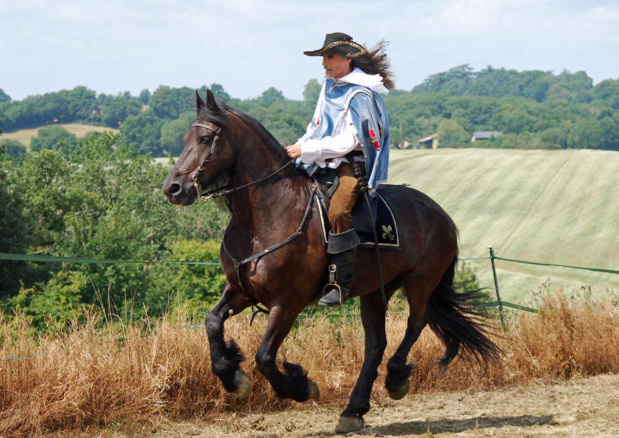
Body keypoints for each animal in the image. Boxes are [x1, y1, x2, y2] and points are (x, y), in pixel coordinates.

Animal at [163, 90, 498, 432]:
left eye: (205, 138)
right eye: (186, 138)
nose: (172, 188)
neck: (267, 215)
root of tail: (439, 213)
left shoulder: (288, 303)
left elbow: (265, 357)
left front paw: (301, 387)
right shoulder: (241, 291)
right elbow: (212, 322)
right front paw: (233, 377)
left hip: (421, 281)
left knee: (416, 324)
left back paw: (395, 379)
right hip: (376, 291)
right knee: (375, 344)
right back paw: (354, 410)